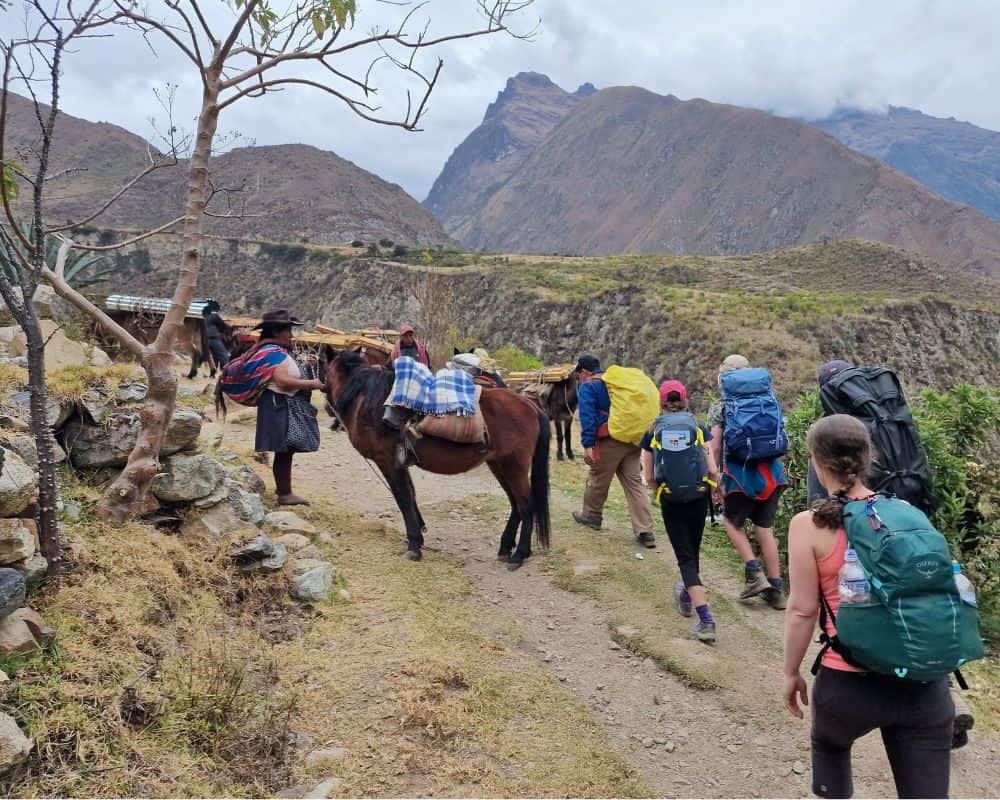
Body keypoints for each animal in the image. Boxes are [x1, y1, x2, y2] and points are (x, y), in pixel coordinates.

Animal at [326, 352, 552, 568]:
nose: (328, 412)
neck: (366, 400)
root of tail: (531, 406)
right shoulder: (402, 462)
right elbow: (411, 495)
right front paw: (418, 536)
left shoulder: (388, 461)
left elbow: (403, 499)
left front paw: (414, 546)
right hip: (500, 465)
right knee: (515, 503)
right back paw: (506, 547)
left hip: (515, 467)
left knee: (526, 505)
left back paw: (519, 555)